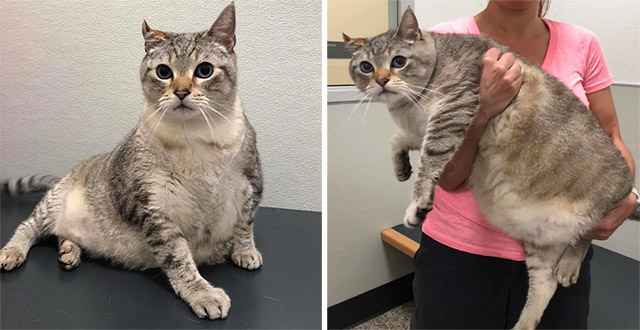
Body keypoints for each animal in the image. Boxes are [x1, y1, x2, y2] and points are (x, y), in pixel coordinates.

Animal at [0, 2, 262, 320]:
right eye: (163, 72)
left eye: (204, 70)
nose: (181, 91)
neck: (195, 137)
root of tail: (66, 174)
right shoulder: (155, 205)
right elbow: (179, 259)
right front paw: (203, 293)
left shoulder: (250, 181)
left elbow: (245, 224)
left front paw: (244, 252)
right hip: (50, 208)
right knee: (27, 228)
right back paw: (13, 252)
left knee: (63, 235)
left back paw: (69, 252)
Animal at [342, 7, 632, 330]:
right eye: (365, 67)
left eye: (398, 61)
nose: (380, 80)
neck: (409, 107)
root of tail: (627, 183)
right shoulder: (422, 128)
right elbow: (397, 139)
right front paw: (401, 166)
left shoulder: (451, 113)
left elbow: (429, 161)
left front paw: (417, 204)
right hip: (539, 246)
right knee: (544, 284)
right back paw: (523, 324)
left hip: (602, 209)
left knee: (584, 238)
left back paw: (569, 265)